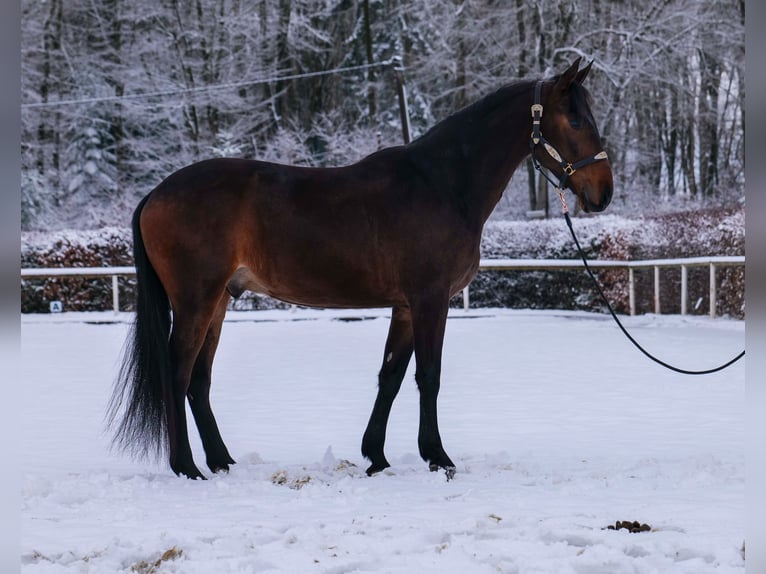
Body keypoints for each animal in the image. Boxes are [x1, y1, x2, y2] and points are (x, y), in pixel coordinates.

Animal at [108, 58, 616, 482]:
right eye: (574, 119)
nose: (603, 192)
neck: (442, 185)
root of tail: (156, 194)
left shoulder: (406, 306)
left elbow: (390, 376)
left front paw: (376, 455)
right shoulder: (431, 300)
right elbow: (428, 375)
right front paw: (438, 457)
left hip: (218, 301)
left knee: (199, 380)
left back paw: (221, 461)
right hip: (196, 301)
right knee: (177, 372)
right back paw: (187, 467)